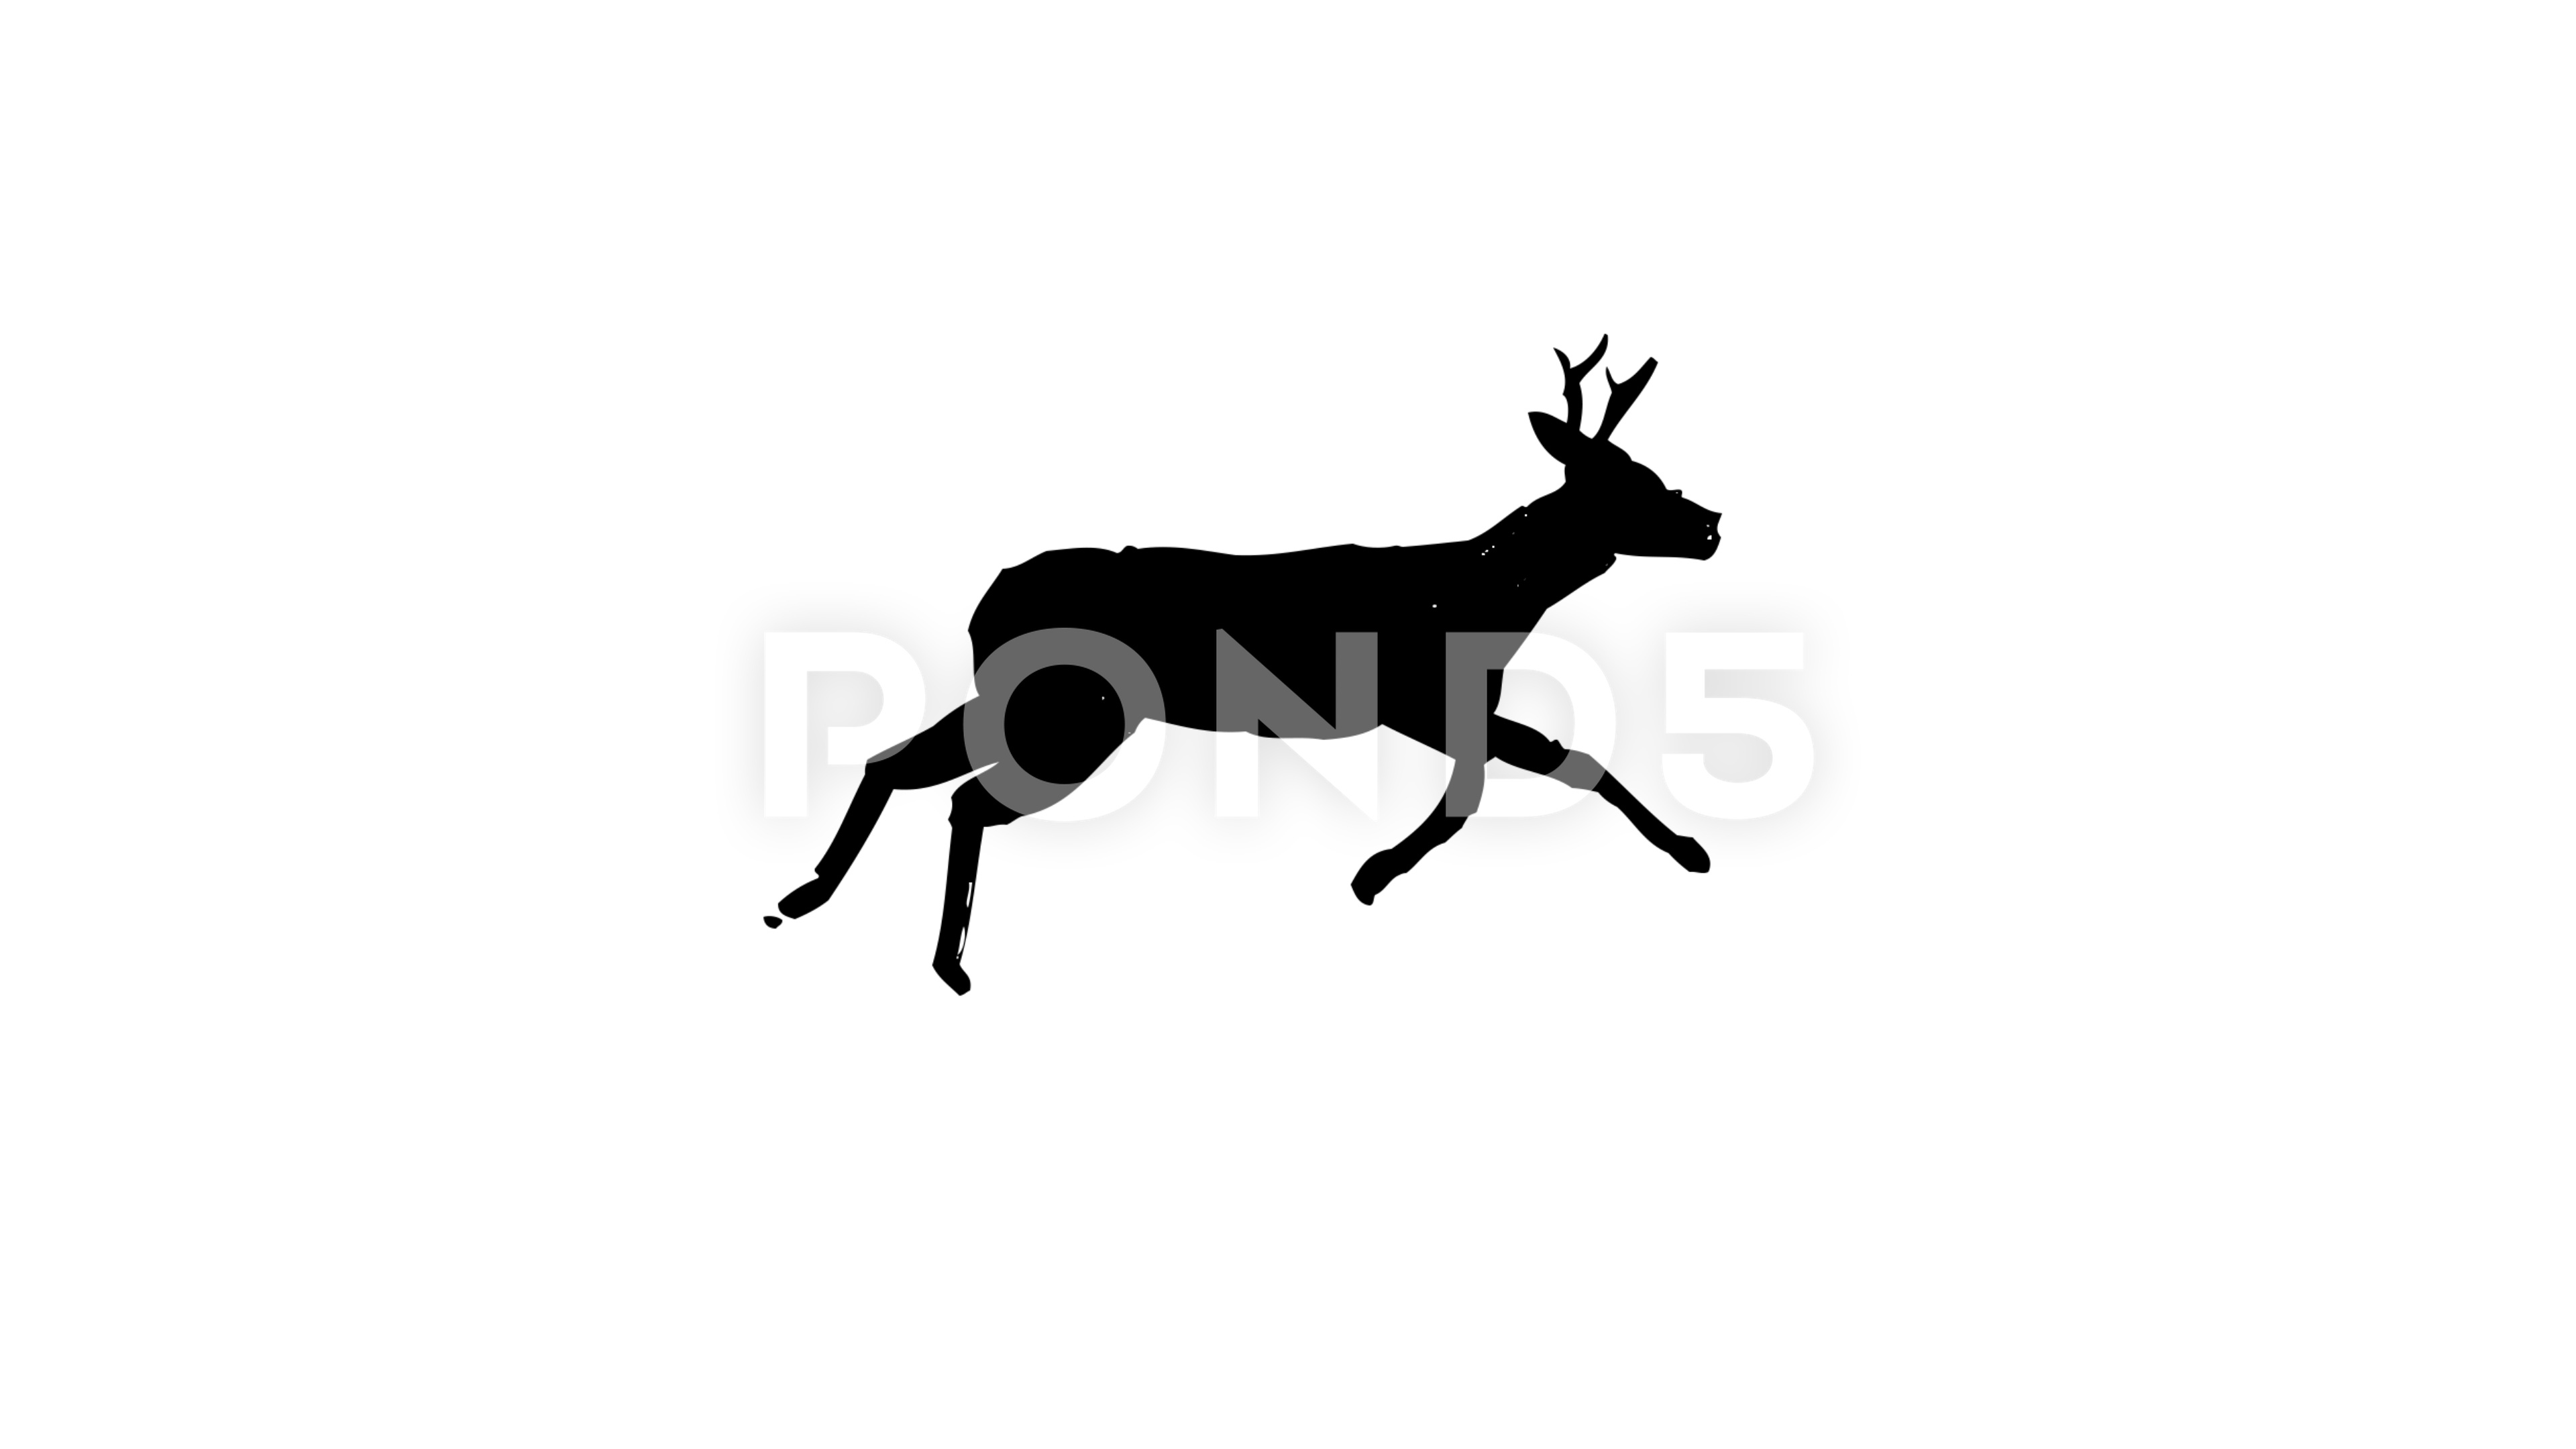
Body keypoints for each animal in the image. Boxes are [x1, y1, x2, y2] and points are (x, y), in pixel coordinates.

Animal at [766, 338, 1723, 993]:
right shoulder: (1418, 696)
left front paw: (1688, 849)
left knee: (893, 762)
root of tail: (985, 607)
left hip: (1029, 700)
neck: (1488, 603)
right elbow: (1485, 791)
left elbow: (1568, 762)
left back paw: (806, 897)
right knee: (964, 796)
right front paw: (1373, 875)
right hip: (1080, 712)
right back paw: (946, 961)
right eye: (1630, 485)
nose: (1712, 523)